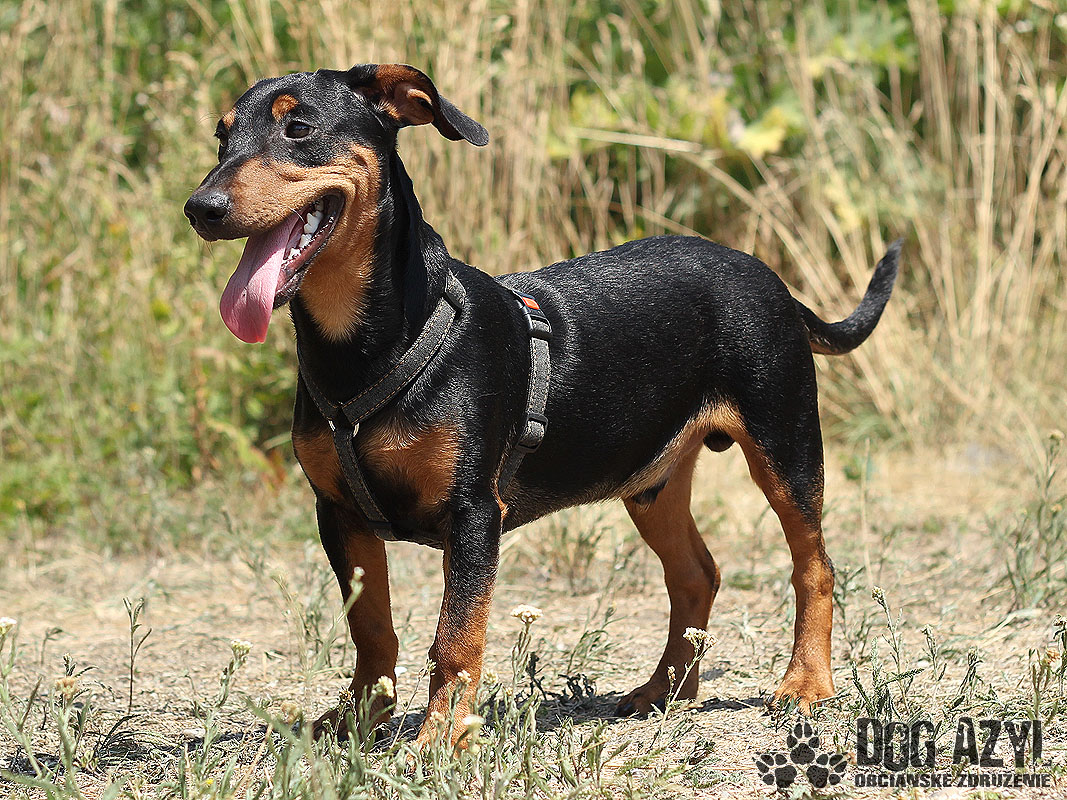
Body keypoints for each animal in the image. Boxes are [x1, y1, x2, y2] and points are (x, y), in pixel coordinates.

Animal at [184, 63, 899, 746]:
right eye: (220, 138)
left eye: (298, 128)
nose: (200, 207)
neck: (372, 346)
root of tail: (770, 279)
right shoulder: (337, 513)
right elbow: (372, 629)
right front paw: (360, 721)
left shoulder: (474, 514)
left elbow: (454, 640)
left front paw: (438, 742)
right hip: (653, 483)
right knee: (697, 574)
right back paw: (662, 691)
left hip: (785, 444)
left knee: (815, 567)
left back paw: (805, 683)